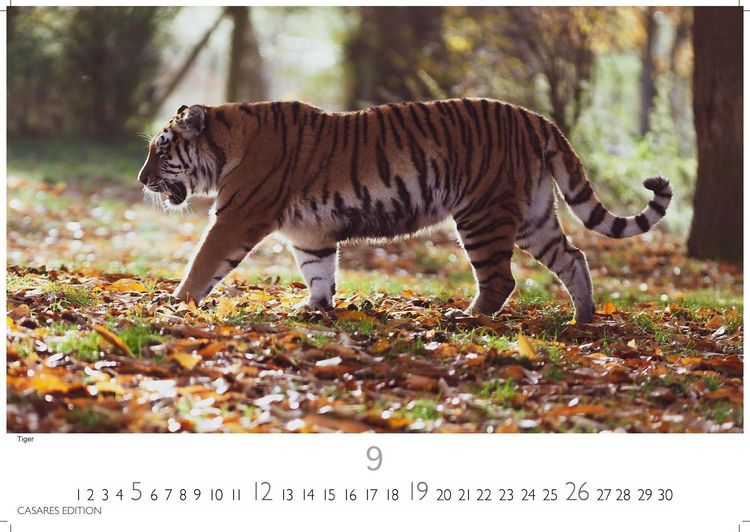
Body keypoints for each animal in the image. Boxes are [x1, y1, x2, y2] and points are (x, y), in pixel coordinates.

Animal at [137, 99, 672, 323]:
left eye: (161, 151)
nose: (141, 181)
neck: (228, 142)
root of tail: (537, 118)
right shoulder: (310, 234)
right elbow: (319, 271)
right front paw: (313, 308)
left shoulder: (237, 217)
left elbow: (204, 261)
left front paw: (175, 302)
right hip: (532, 217)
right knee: (573, 258)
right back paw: (583, 319)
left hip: (482, 214)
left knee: (501, 279)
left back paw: (468, 318)